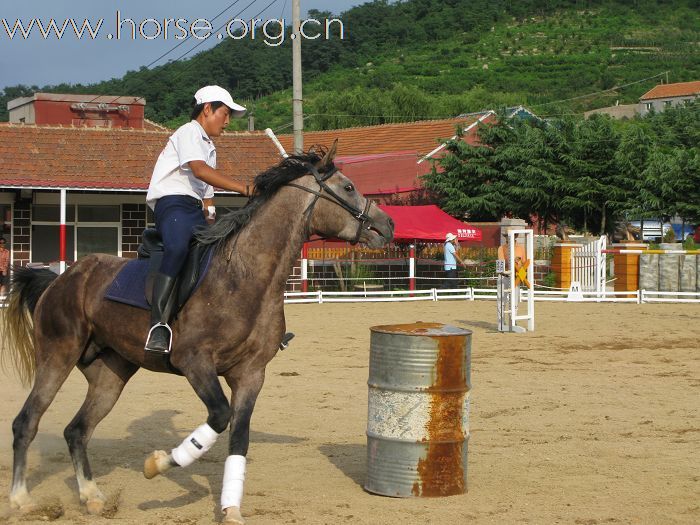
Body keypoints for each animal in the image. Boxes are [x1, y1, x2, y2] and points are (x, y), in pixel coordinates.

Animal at [0, 144, 394, 524]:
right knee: (26, 422)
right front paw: (158, 464)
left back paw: (92, 497)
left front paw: (231, 509)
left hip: (111, 374)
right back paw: (22, 500)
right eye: (348, 187)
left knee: (77, 431)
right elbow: (219, 417)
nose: (387, 224)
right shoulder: (195, 363)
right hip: (58, 357)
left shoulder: (251, 374)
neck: (245, 276)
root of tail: (61, 278)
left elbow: (239, 437)